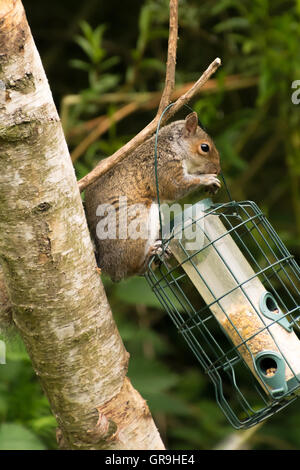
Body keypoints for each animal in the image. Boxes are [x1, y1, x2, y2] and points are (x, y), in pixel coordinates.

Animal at [84, 112, 220, 280]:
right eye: (204, 147)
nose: (217, 169)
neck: (173, 146)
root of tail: (106, 265)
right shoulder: (163, 168)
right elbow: (175, 188)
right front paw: (207, 179)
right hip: (136, 221)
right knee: (132, 270)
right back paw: (151, 254)